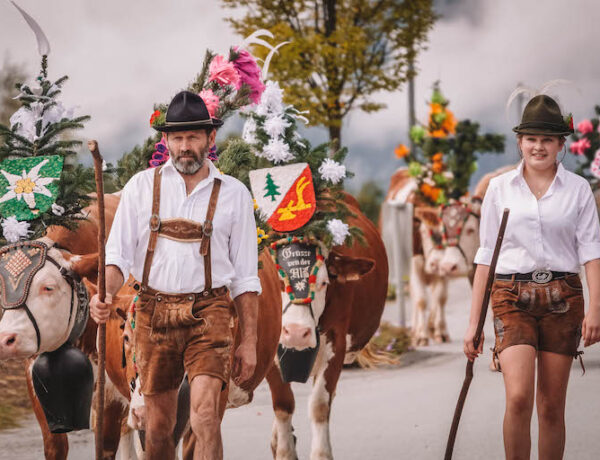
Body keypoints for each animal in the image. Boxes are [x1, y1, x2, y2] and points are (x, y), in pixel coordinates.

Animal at [264, 195, 386, 460]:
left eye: (323, 282)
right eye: (278, 281)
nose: (297, 333)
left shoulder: (336, 343)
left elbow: (320, 406)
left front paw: (321, 453)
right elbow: (283, 404)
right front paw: (285, 450)